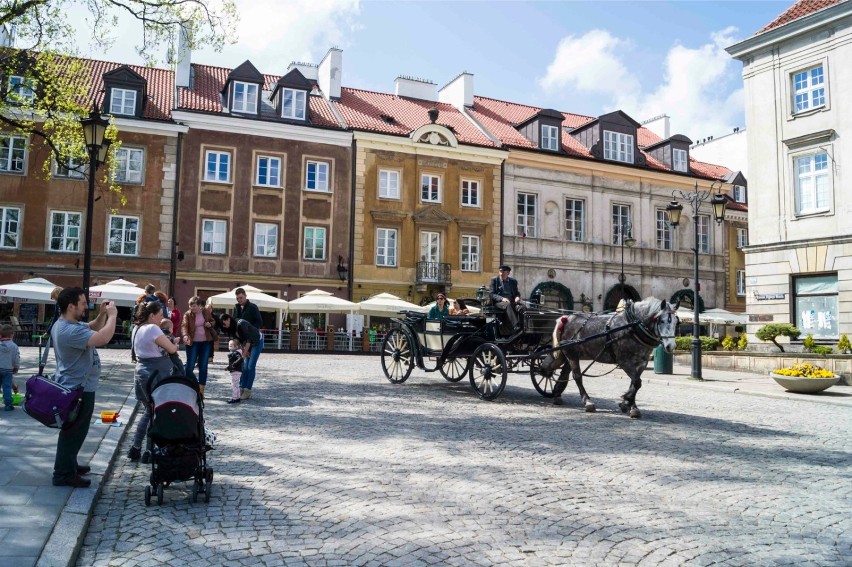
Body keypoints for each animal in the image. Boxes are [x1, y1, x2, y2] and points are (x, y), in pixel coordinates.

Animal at [540, 300, 680, 420]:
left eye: (676, 322)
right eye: (661, 321)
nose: (671, 346)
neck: (632, 327)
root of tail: (567, 318)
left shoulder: (642, 363)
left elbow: (634, 384)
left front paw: (630, 405)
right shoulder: (624, 361)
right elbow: (637, 382)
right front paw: (627, 402)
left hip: (570, 354)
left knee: (564, 373)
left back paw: (557, 394)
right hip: (572, 354)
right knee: (577, 377)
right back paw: (587, 401)